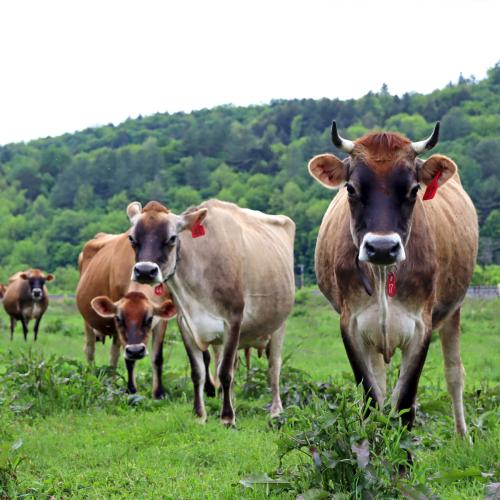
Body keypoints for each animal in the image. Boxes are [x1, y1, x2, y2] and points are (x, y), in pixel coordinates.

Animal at [128, 200, 296, 426]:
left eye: (172, 238)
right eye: (131, 238)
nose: (145, 271)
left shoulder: (233, 320)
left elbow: (224, 373)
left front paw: (227, 418)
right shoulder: (185, 324)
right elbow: (198, 372)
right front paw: (200, 415)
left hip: (279, 325)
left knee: (273, 368)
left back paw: (276, 411)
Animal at [310, 122, 478, 434]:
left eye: (413, 190)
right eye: (351, 188)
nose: (382, 247)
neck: (382, 274)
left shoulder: (421, 326)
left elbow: (404, 404)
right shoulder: (351, 324)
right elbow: (371, 399)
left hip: (454, 309)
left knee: (454, 373)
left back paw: (463, 436)